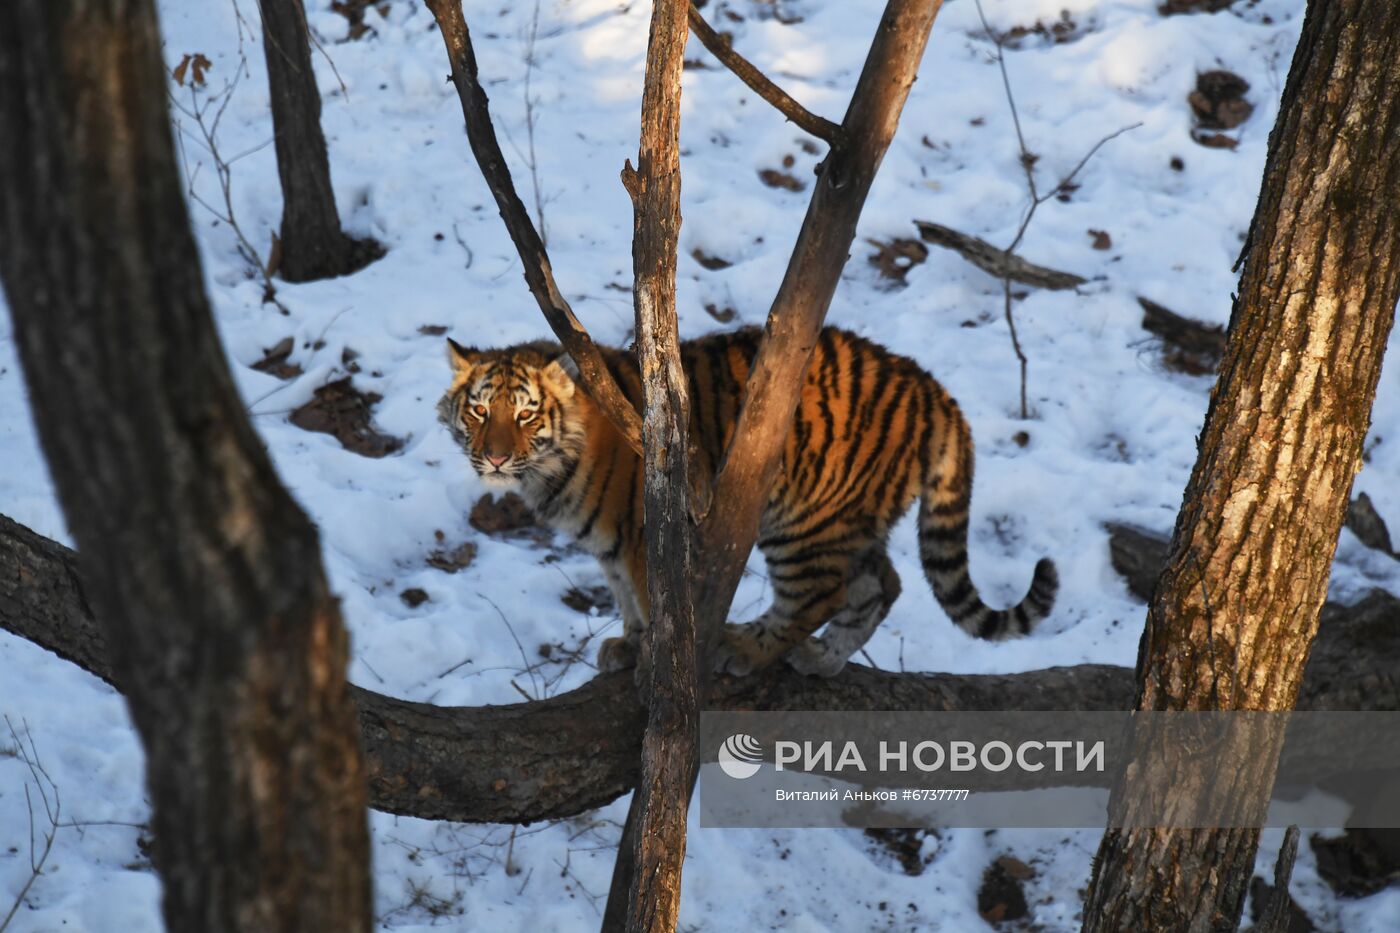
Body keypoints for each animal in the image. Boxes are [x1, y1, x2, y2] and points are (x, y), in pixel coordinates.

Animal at [434, 326, 1052, 675]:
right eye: (480, 410)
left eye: (526, 414)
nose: (493, 458)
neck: (550, 470)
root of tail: (931, 388)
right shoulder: (610, 548)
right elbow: (626, 602)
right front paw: (628, 646)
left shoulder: (644, 537)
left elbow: (652, 605)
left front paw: (651, 662)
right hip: (851, 519)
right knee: (884, 584)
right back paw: (823, 660)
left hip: (804, 521)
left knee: (819, 595)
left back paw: (747, 651)